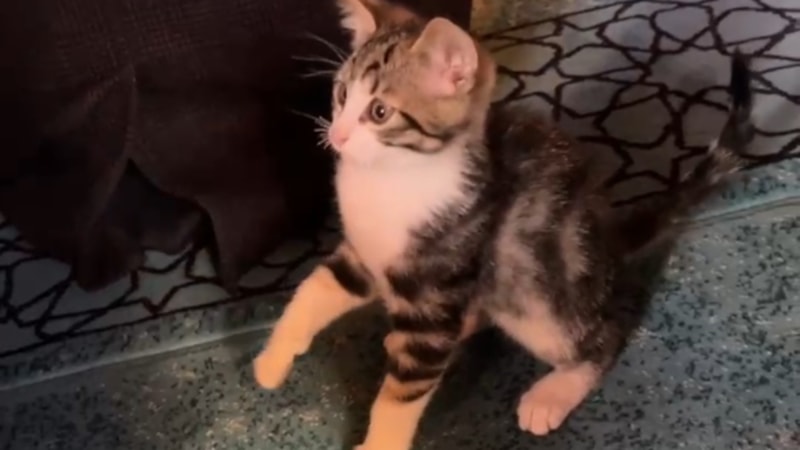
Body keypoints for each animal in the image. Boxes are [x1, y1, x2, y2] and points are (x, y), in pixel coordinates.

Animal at [253, 1, 756, 449]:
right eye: (341, 95)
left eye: (379, 112)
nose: (336, 135)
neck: (390, 179)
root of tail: (607, 237)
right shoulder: (361, 257)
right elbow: (311, 292)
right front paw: (273, 359)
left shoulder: (436, 285)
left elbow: (401, 396)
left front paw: (380, 444)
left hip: (534, 288)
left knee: (604, 333)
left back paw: (554, 390)